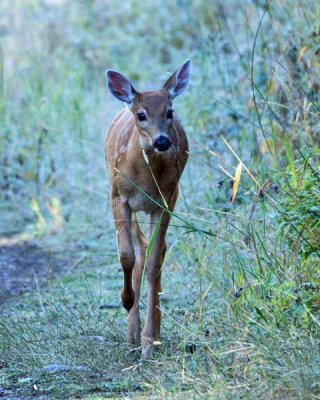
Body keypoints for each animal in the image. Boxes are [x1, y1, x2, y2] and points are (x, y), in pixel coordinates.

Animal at [104, 59, 190, 360]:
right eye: (141, 115)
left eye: (169, 111)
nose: (162, 141)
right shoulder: (118, 196)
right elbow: (126, 256)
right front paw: (126, 300)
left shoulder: (165, 200)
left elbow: (153, 264)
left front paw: (149, 340)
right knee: (139, 247)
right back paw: (132, 333)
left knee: (155, 250)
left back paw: (148, 335)